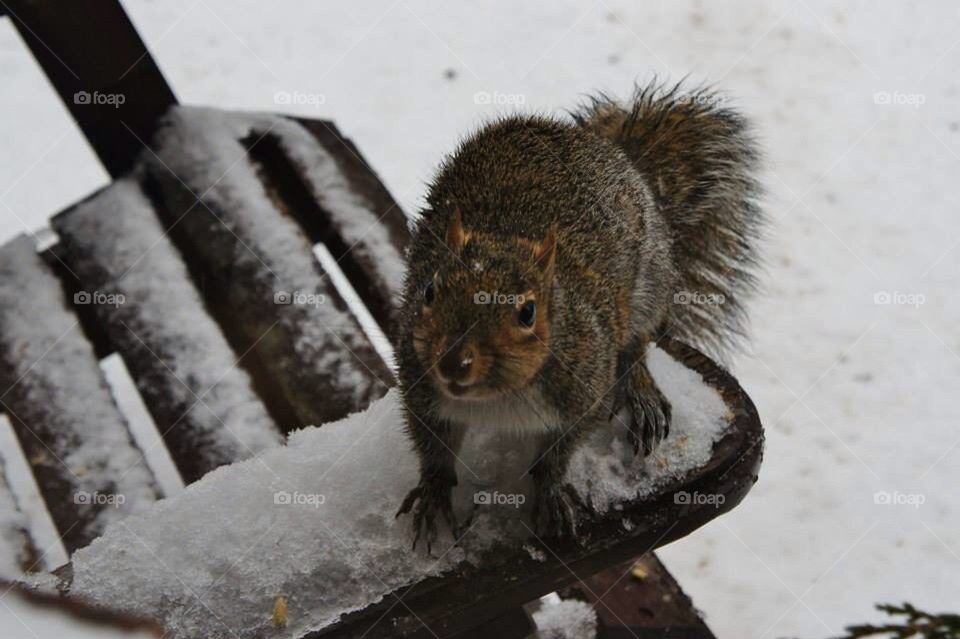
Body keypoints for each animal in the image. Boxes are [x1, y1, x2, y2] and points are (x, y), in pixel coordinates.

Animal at [394, 80, 760, 552]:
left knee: (638, 344)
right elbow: (433, 448)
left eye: (528, 312)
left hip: (648, 287)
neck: (495, 401)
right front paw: (435, 493)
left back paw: (641, 392)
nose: (454, 363)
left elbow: (558, 454)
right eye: (429, 290)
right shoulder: (420, 387)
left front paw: (551, 496)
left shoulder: (584, 388)